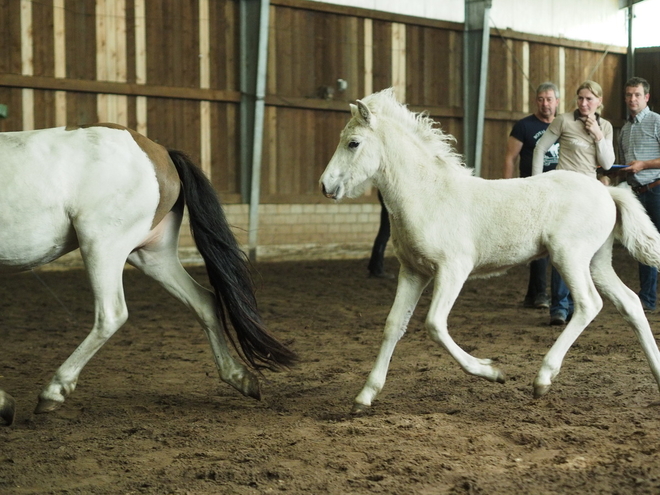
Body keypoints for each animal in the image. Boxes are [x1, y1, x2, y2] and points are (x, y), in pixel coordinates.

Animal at [0, 123, 294, 426]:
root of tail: (158, 150)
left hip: (102, 244)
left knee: (111, 314)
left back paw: (54, 392)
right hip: (152, 255)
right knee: (204, 301)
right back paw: (240, 377)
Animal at [322, 89, 660, 414]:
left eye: (353, 143)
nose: (325, 185)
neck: (429, 195)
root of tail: (607, 190)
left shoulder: (453, 269)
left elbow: (434, 324)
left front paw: (492, 371)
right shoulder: (413, 272)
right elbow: (393, 326)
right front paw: (365, 396)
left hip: (570, 256)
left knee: (590, 304)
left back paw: (543, 378)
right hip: (596, 261)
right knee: (630, 302)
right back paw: (656, 373)